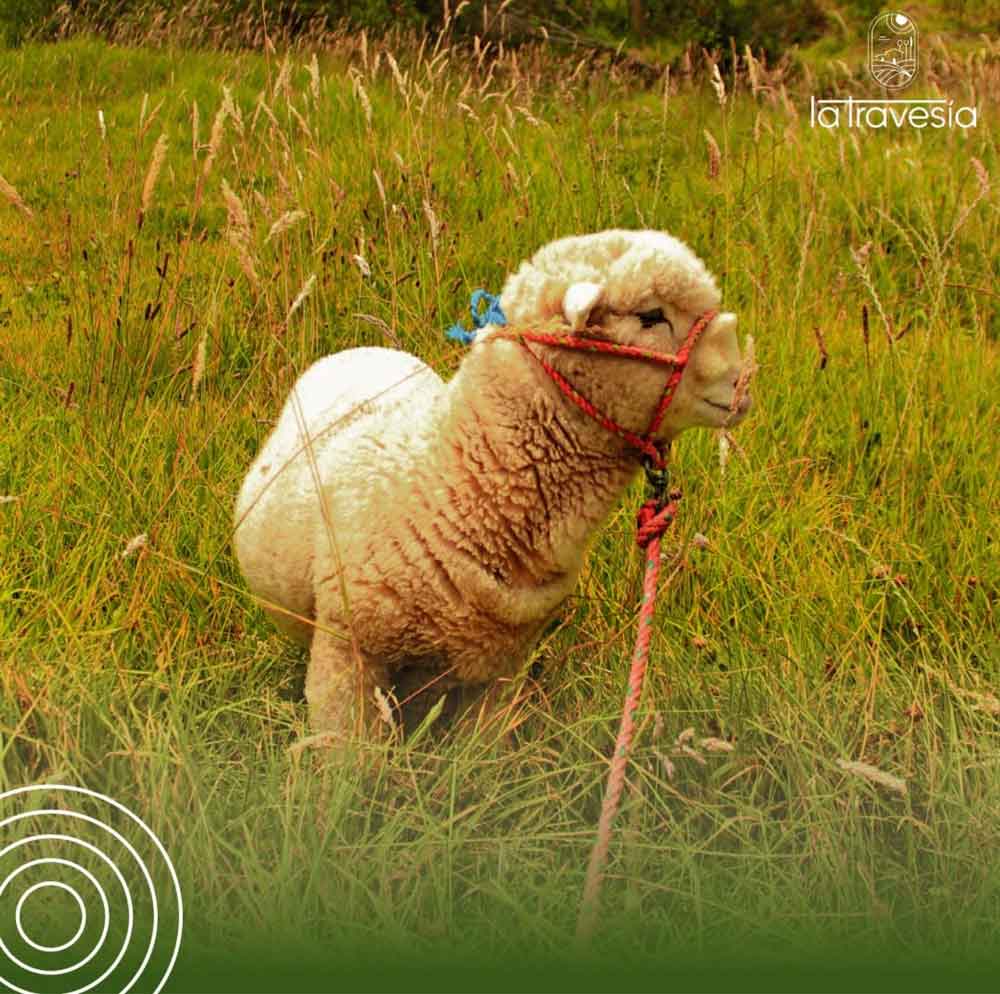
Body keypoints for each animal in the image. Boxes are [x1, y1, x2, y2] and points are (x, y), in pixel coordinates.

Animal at [234, 229, 752, 742]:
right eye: (651, 316)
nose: (745, 383)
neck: (452, 480)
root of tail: (365, 350)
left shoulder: (497, 671)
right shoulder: (348, 659)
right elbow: (353, 755)